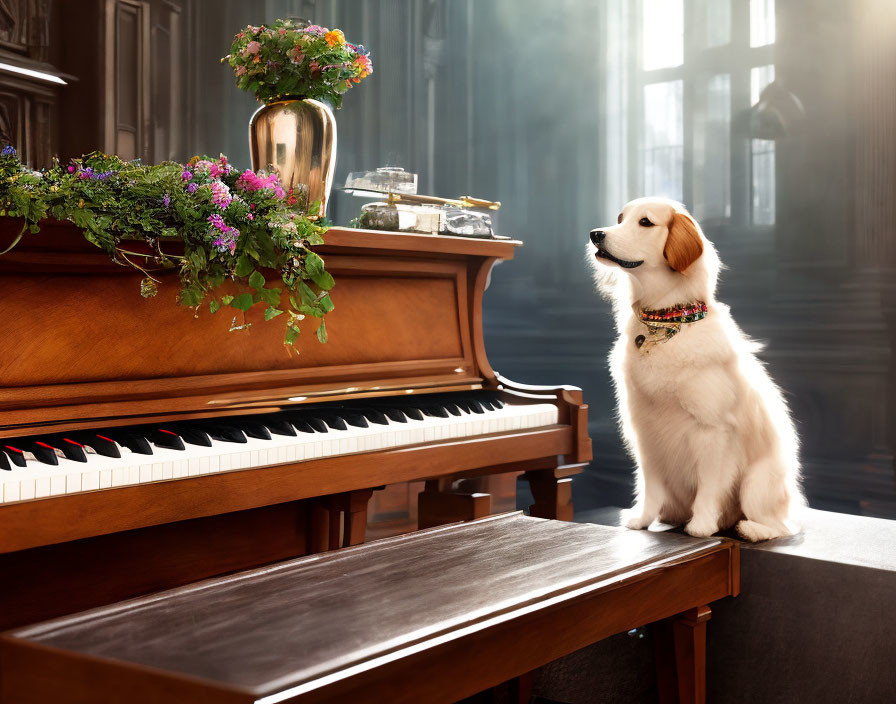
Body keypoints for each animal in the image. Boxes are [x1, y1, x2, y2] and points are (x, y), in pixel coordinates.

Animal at [588, 195, 804, 540]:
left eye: (645, 222)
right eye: (620, 218)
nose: (595, 234)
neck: (666, 321)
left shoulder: (712, 430)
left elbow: (709, 485)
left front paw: (701, 526)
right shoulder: (645, 431)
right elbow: (650, 484)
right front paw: (642, 519)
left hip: (757, 483)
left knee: (780, 526)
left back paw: (748, 529)